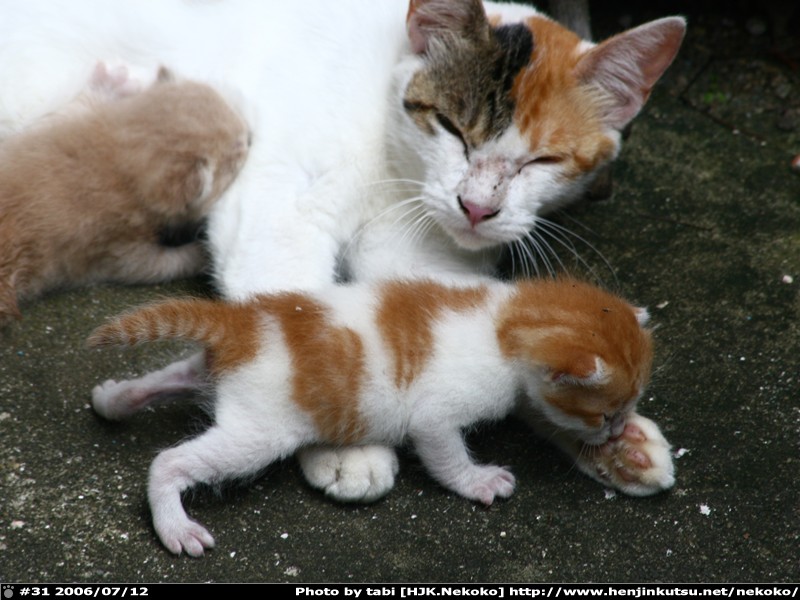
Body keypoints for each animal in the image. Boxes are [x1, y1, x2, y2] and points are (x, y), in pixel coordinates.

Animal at [0, 63, 250, 324]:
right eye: (238, 151)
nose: (251, 136)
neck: (109, 161)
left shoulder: (37, 136)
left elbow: (64, 113)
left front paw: (110, 83)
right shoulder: (110, 248)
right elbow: (155, 267)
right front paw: (203, 255)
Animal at [87, 277, 672, 556]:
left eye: (624, 411)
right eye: (607, 413)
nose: (617, 428)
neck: (504, 320)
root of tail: (240, 322)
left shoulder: (526, 389)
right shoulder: (436, 413)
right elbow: (444, 451)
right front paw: (479, 482)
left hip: (214, 374)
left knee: (173, 375)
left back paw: (116, 398)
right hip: (259, 430)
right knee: (169, 462)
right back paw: (175, 525)